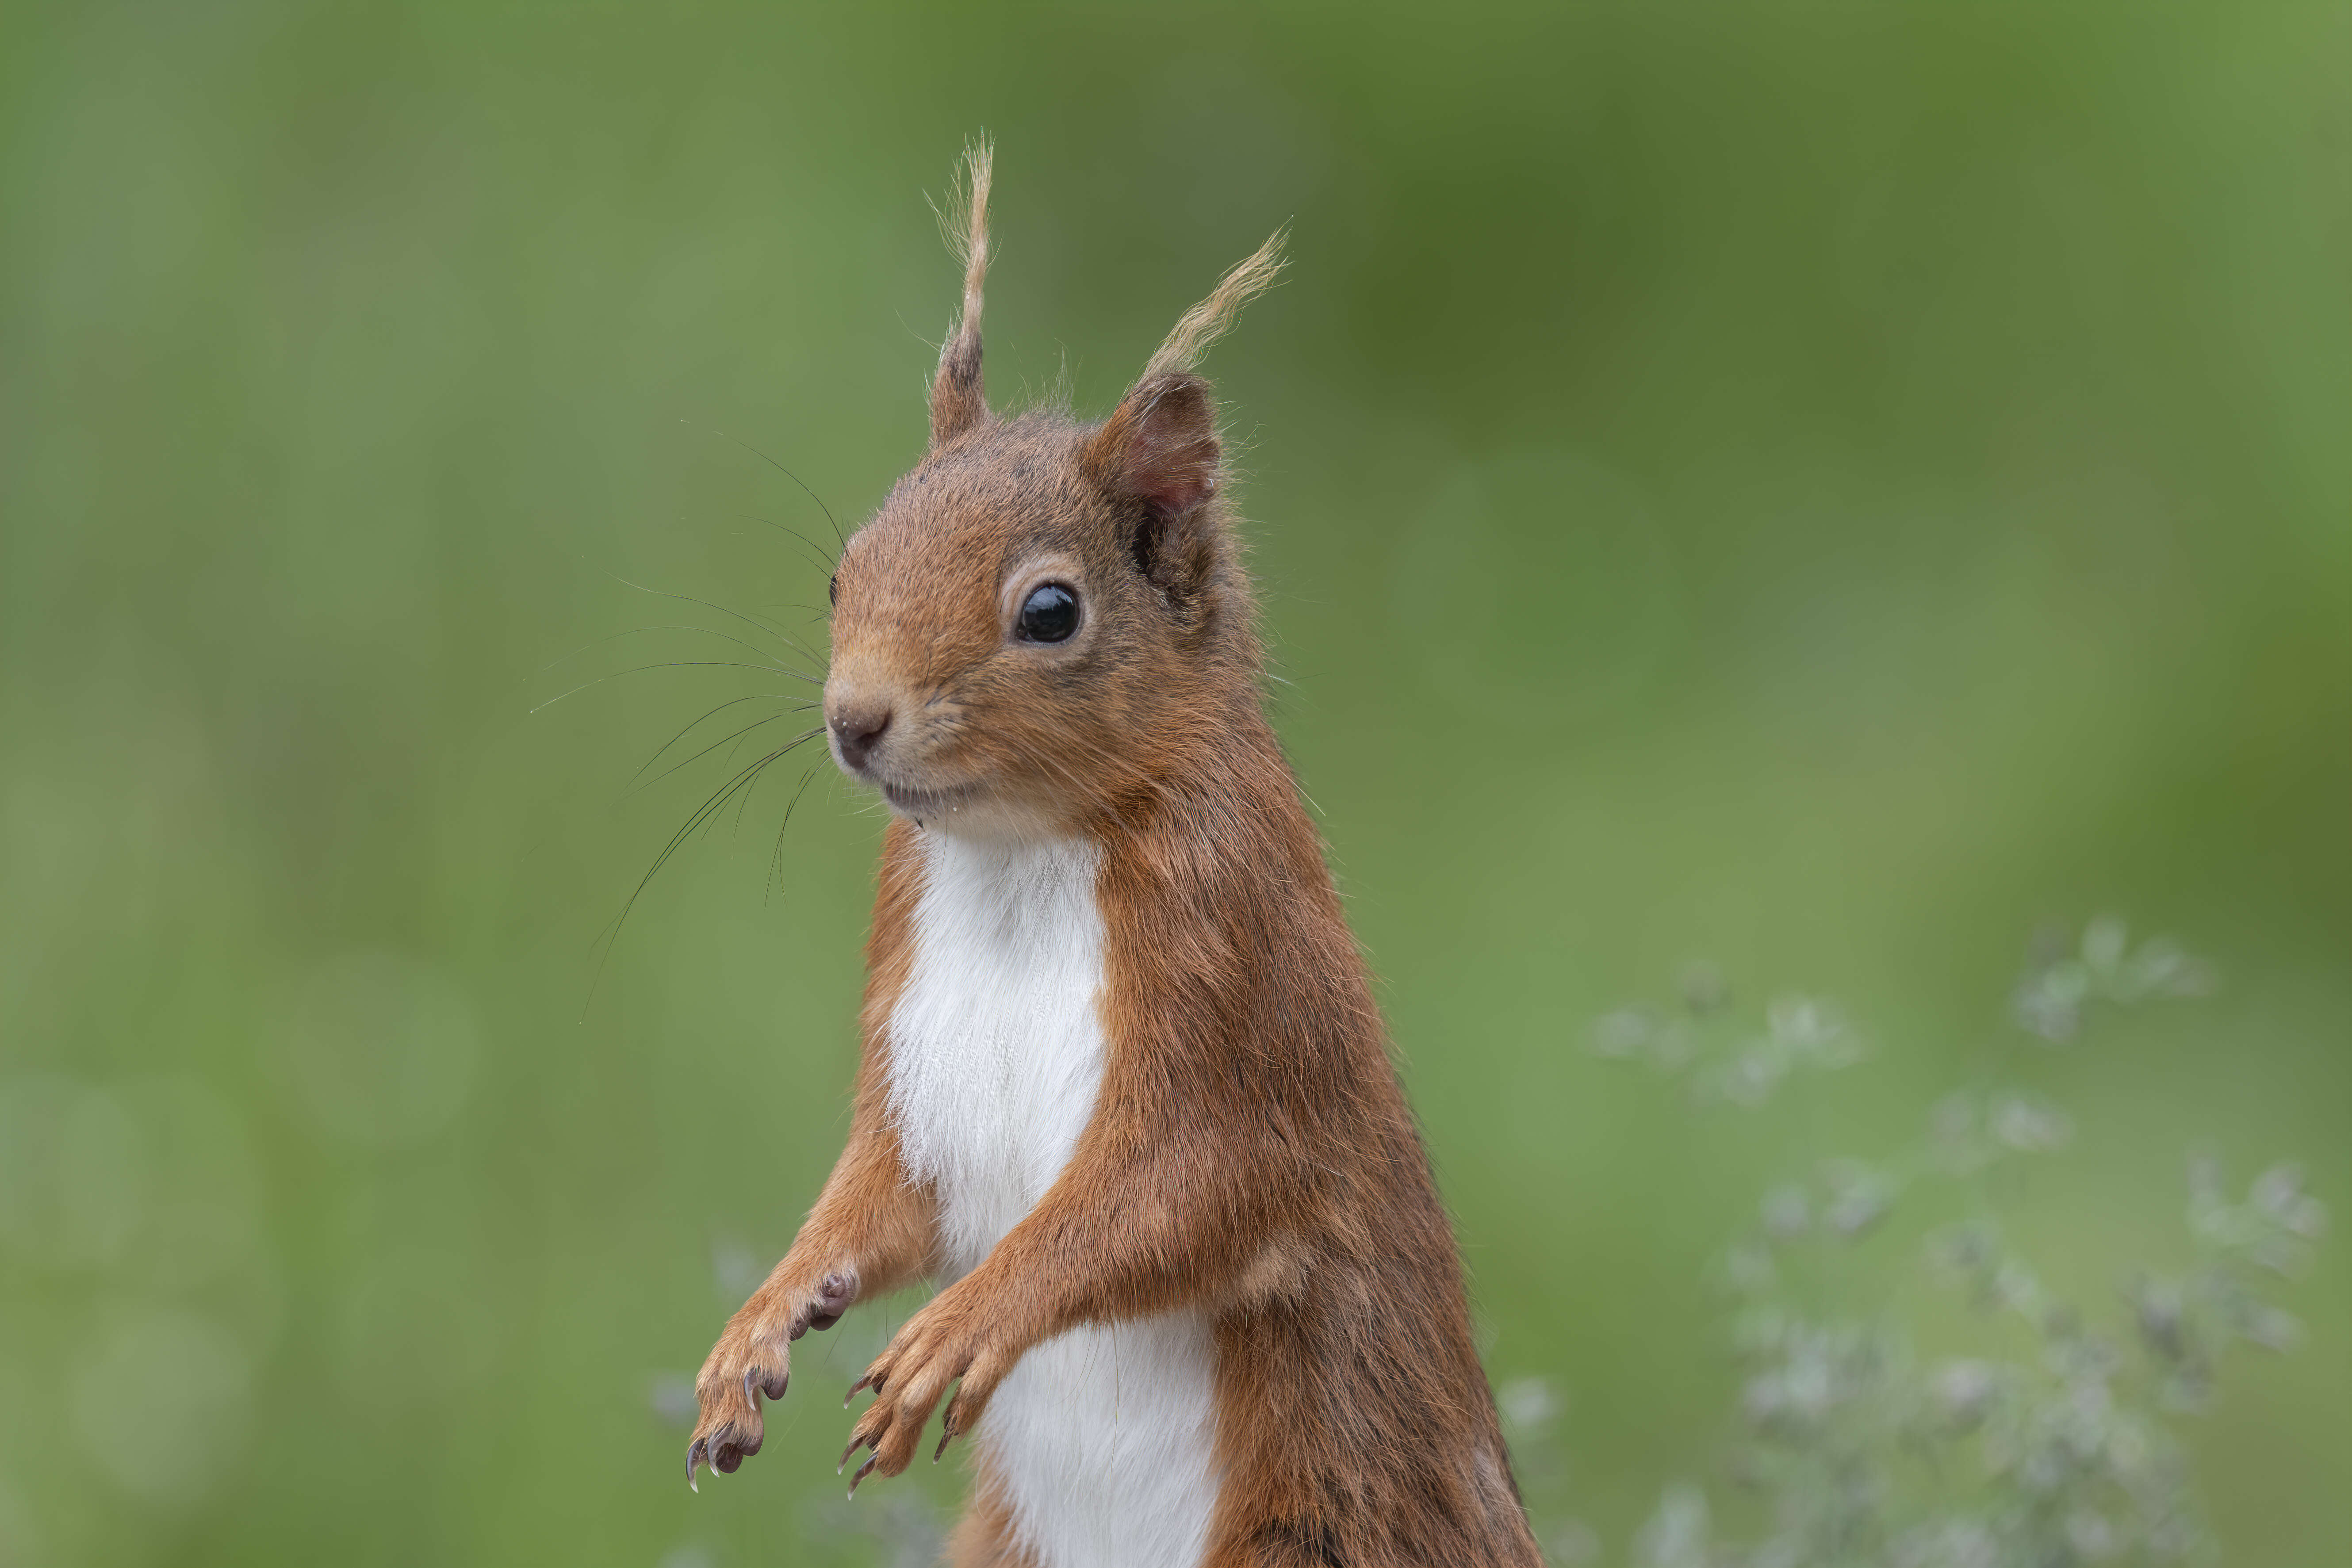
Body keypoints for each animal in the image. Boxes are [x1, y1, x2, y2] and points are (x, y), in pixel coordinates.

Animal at [686, 141, 1543, 1561]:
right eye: (842, 571)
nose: (854, 720)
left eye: (1049, 610)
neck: (1018, 857)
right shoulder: (907, 1025)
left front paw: (961, 1328)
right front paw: (761, 1323)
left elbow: (1178, 1193)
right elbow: (882, 1191)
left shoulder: (1240, 982)